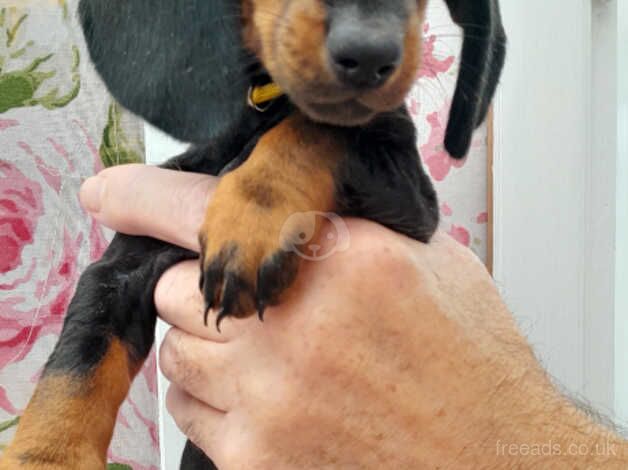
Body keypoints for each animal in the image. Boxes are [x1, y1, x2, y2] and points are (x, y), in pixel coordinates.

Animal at [1, 0, 506, 470]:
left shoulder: (410, 201)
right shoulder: (118, 269)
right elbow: (75, 366)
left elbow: (318, 129)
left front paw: (251, 221)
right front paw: (44, 456)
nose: (368, 54)